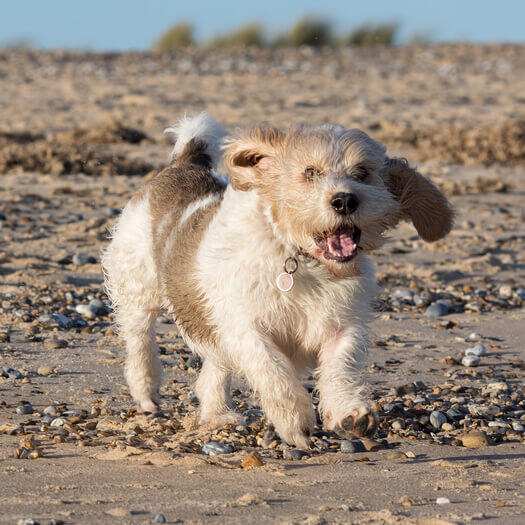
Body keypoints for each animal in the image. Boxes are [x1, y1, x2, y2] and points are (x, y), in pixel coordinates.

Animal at [101, 110, 450, 446]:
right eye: (310, 172)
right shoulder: (248, 330)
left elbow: (341, 365)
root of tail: (182, 163)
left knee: (215, 367)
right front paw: (295, 422)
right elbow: (273, 372)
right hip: (138, 294)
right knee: (140, 343)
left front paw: (349, 413)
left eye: (362, 172)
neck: (302, 260)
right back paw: (147, 393)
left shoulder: (342, 326)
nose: (344, 200)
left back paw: (218, 415)